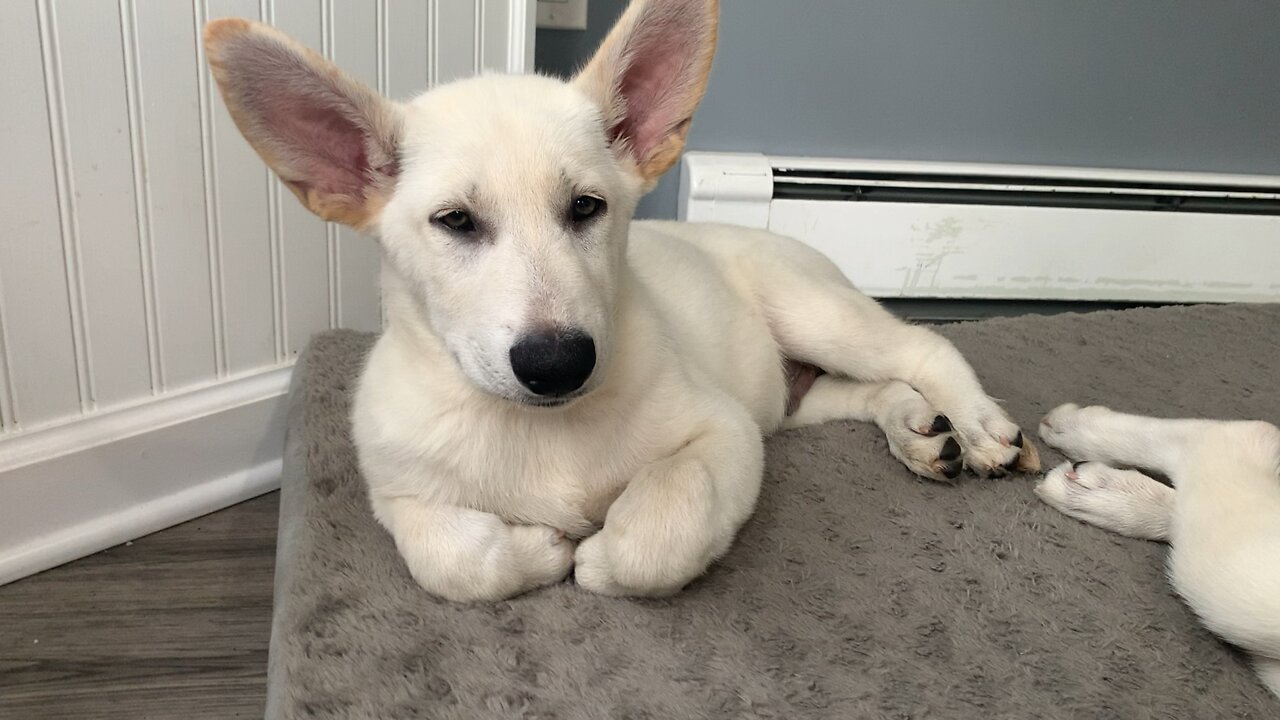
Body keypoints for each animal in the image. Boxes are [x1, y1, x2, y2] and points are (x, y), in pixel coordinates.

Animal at [204, 0, 1034, 599]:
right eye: (455, 222)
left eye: (586, 207)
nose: (557, 364)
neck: (541, 429)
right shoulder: (400, 495)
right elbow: (453, 561)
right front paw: (538, 548)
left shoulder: (725, 433)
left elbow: (661, 524)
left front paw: (597, 556)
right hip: (790, 402)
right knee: (869, 390)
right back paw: (919, 432)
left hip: (813, 317)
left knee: (923, 349)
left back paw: (978, 427)